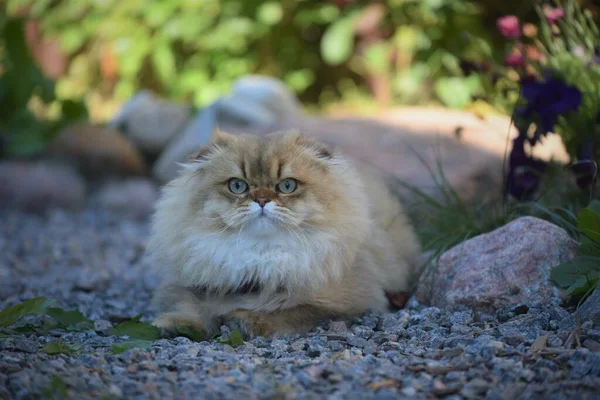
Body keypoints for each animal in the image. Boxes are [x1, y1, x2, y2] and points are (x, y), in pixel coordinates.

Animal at [149, 130, 422, 336]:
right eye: (237, 186)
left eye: (287, 186)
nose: (261, 199)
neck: (260, 258)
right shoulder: (195, 287)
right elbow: (192, 307)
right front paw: (176, 325)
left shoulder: (352, 302)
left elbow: (294, 312)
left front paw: (246, 320)